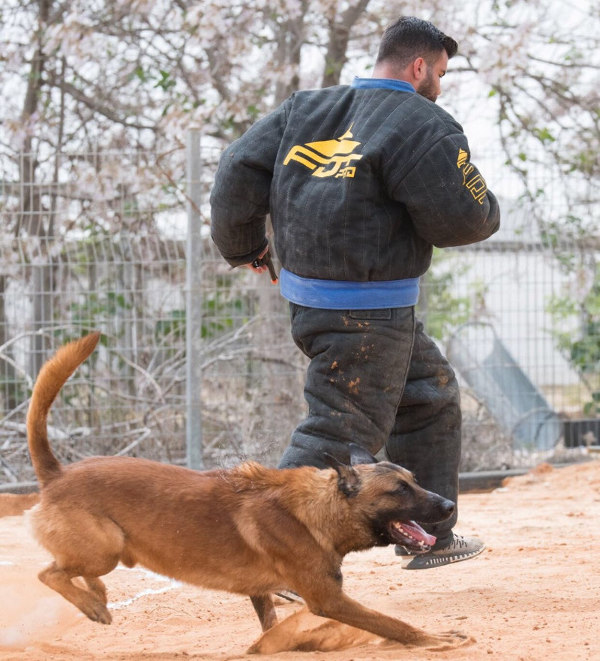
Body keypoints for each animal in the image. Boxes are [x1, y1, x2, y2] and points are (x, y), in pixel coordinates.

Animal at [27, 336, 468, 648]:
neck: (316, 511)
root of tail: (57, 474)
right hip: (105, 548)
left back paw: (98, 596)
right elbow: (392, 623)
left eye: (415, 479)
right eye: (399, 490)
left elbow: (270, 626)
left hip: (109, 551)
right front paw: (433, 639)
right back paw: (91, 604)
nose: (449, 505)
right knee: (49, 573)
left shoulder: (262, 592)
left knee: (73, 571)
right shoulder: (329, 600)